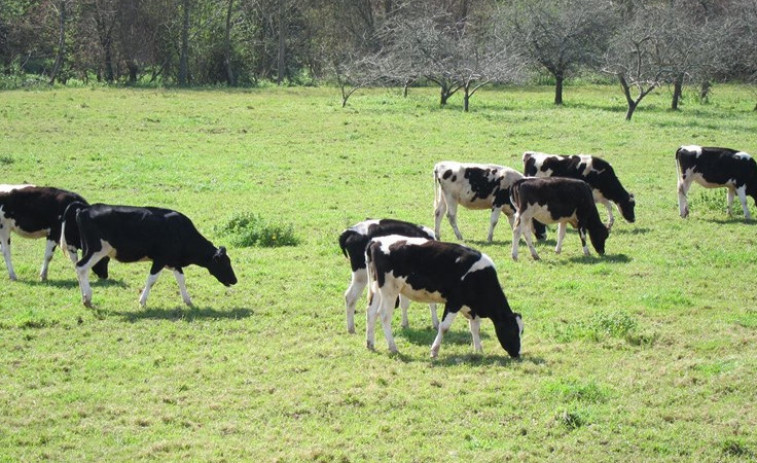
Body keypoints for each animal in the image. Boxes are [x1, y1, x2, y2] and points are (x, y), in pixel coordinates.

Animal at [62, 204, 236, 308]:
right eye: (225, 263)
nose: (235, 280)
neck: (180, 231)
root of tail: (85, 209)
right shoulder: (160, 259)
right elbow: (151, 280)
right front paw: (142, 301)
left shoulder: (173, 260)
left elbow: (181, 279)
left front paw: (188, 301)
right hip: (96, 250)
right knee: (81, 267)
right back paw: (87, 298)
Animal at [364, 236, 520, 358]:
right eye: (513, 331)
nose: (517, 353)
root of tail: (375, 242)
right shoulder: (454, 301)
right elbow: (444, 327)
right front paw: (434, 351)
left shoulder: (470, 308)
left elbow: (475, 327)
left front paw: (478, 350)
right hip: (389, 291)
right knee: (384, 316)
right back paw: (393, 347)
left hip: (376, 287)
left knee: (371, 312)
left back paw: (370, 344)